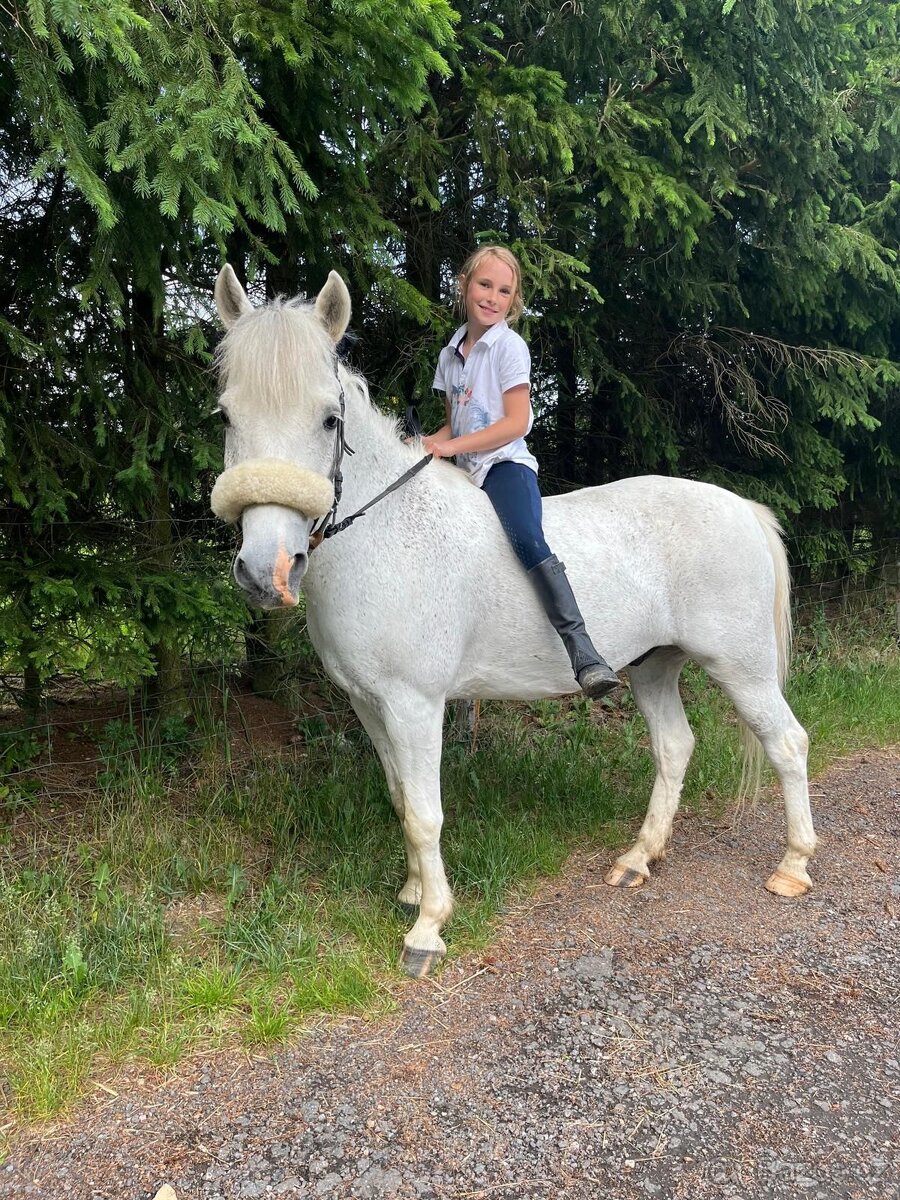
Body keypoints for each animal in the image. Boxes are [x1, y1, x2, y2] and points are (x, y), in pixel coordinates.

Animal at [209, 264, 816, 978]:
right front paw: (412, 889)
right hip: (652, 667)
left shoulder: (415, 703)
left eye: (329, 419)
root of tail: (743, 508)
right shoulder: (368, 703)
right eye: (226, 415)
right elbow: (400, 797)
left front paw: (428, 926)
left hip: (742, 668)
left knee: (788, 743)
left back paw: (793, 866)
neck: (385, 533)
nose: (266, 571)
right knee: (674, 747)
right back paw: (638, 858)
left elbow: (425, 812)